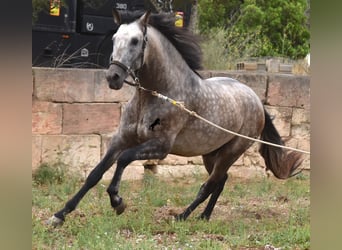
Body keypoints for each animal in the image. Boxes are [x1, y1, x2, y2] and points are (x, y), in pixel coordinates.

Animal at [48, 10, 302, 227]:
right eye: (114, 38)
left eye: (136, 41)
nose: (113, 77)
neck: (158, 94)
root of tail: (256, 100)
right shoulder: (121, 139)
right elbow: (95, 174)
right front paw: (59, 215)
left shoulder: (161, 147)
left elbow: (123, 160)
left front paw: (118, 202)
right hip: (211, 154)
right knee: (221, 181)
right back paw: (204, 216)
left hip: (232, 151)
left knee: (208, 185)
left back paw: (182, 216)